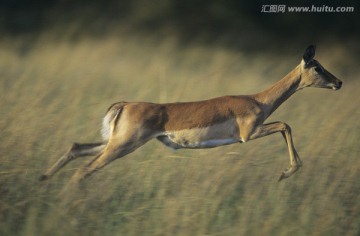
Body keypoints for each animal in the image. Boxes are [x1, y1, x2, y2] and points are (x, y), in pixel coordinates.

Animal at [39, 45, 344, 183]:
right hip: (123, 145)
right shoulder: (250, 134)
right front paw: (285, 172)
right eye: (317, 67)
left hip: (114, 142)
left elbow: (285, 126)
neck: (257, 100)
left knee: (76, 148)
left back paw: (43, 179)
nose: (338, 82)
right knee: (85, 169)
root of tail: (124, 104)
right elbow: (286, 125)